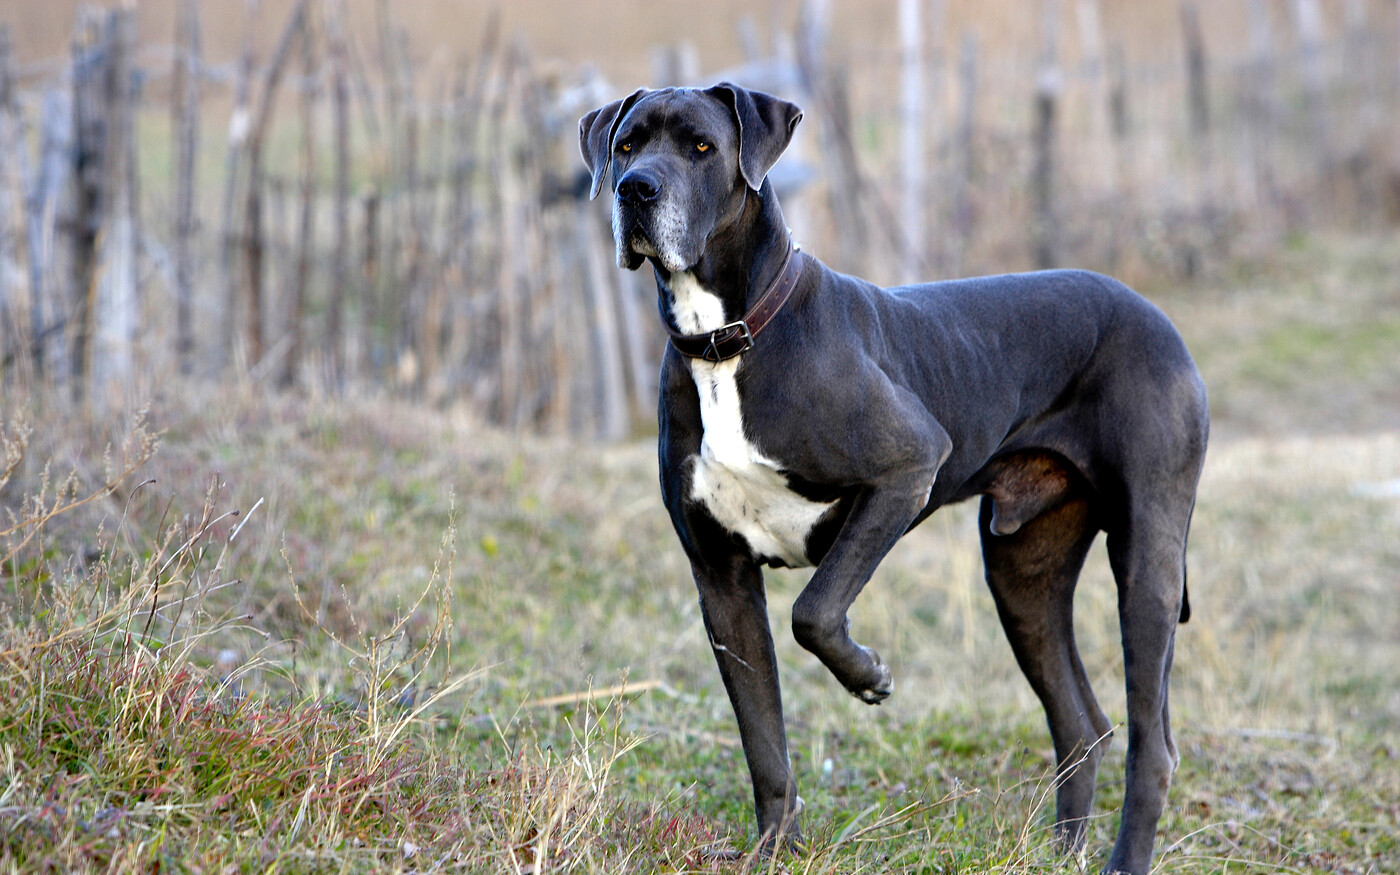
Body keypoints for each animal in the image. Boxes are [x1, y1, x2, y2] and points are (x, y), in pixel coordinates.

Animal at [574, 81, 1209, 873]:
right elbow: (763, 740)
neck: (728, 340)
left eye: (700, 147)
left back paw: (1124, 856)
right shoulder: (721, 578)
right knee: (1081, 723)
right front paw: (775, 850)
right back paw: (1064, 853)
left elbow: (814, 611)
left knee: (1153, 742)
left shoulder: (907, 467)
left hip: (1147, 557)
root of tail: (1159, 317)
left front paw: (869, 675)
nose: (634, 188)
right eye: (628, 143)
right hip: (1021, 572)